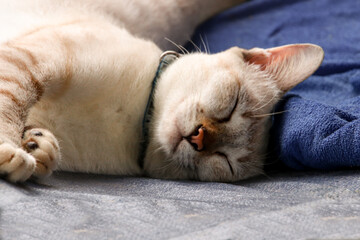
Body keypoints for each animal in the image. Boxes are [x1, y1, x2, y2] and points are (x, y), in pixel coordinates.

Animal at [0, 0, 324, 182]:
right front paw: (14, 153)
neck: (131, 125)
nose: (198, 138)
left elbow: (43, 149)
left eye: (225, 162)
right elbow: (10, 107)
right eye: (231, 107)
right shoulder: (35, 61)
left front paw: (36, 148)